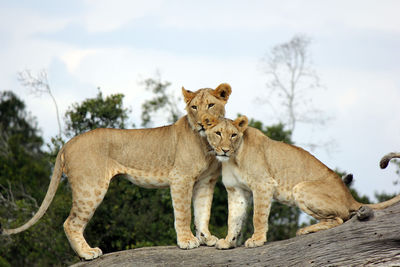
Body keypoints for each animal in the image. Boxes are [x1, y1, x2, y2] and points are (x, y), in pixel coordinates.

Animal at [0, 84, 231, 260]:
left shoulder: (206, 182)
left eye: (211, 105)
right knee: (70, 223)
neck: (206, 142)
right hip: (90, 187)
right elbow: (183, 212)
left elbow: (203, 211)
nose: (202, 123)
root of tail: (67, 143)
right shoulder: (180, 178)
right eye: (194, 107)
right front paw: (186, 241)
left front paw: (206, 238)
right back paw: (88, 253)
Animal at [202, 114, 400, 249]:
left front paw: (257, 240)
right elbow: (233, 218)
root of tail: (349, 196)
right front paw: (228, 242)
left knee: (339, 218)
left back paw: (305, 230)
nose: (225, 150)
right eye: (218, 133)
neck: (232, 159)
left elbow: (258, 216)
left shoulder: (263, 184)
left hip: (301, 187)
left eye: (233, 135)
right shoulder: (236, 190)